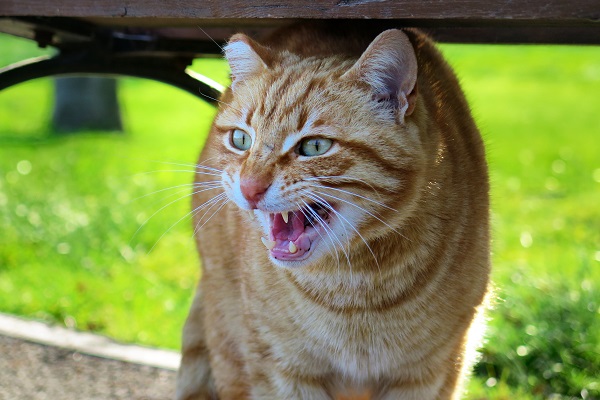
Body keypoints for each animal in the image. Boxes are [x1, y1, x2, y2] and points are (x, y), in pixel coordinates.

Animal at [176, 22, 490, 400]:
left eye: (315, 146)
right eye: (241, 140)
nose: (250, 188)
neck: (353, 291)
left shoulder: (430, 373)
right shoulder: (281, 372)